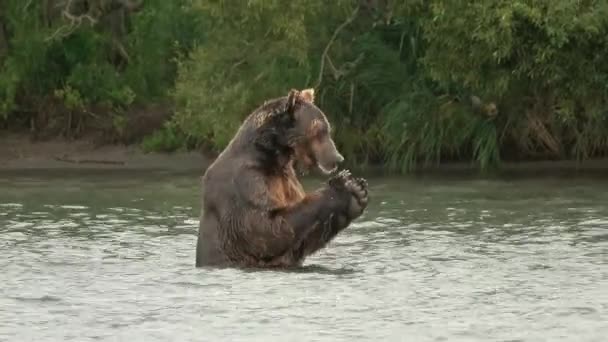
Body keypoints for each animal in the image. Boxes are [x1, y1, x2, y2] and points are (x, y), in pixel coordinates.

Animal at [195, 87, 368, 268]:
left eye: (327, 129)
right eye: (319, 131)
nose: (337, 158)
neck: (273, 156)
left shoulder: (287, 179)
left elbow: (303, 241)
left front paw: (357, 194)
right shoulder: (246, 183)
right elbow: (267, 229)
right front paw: (342, 185)